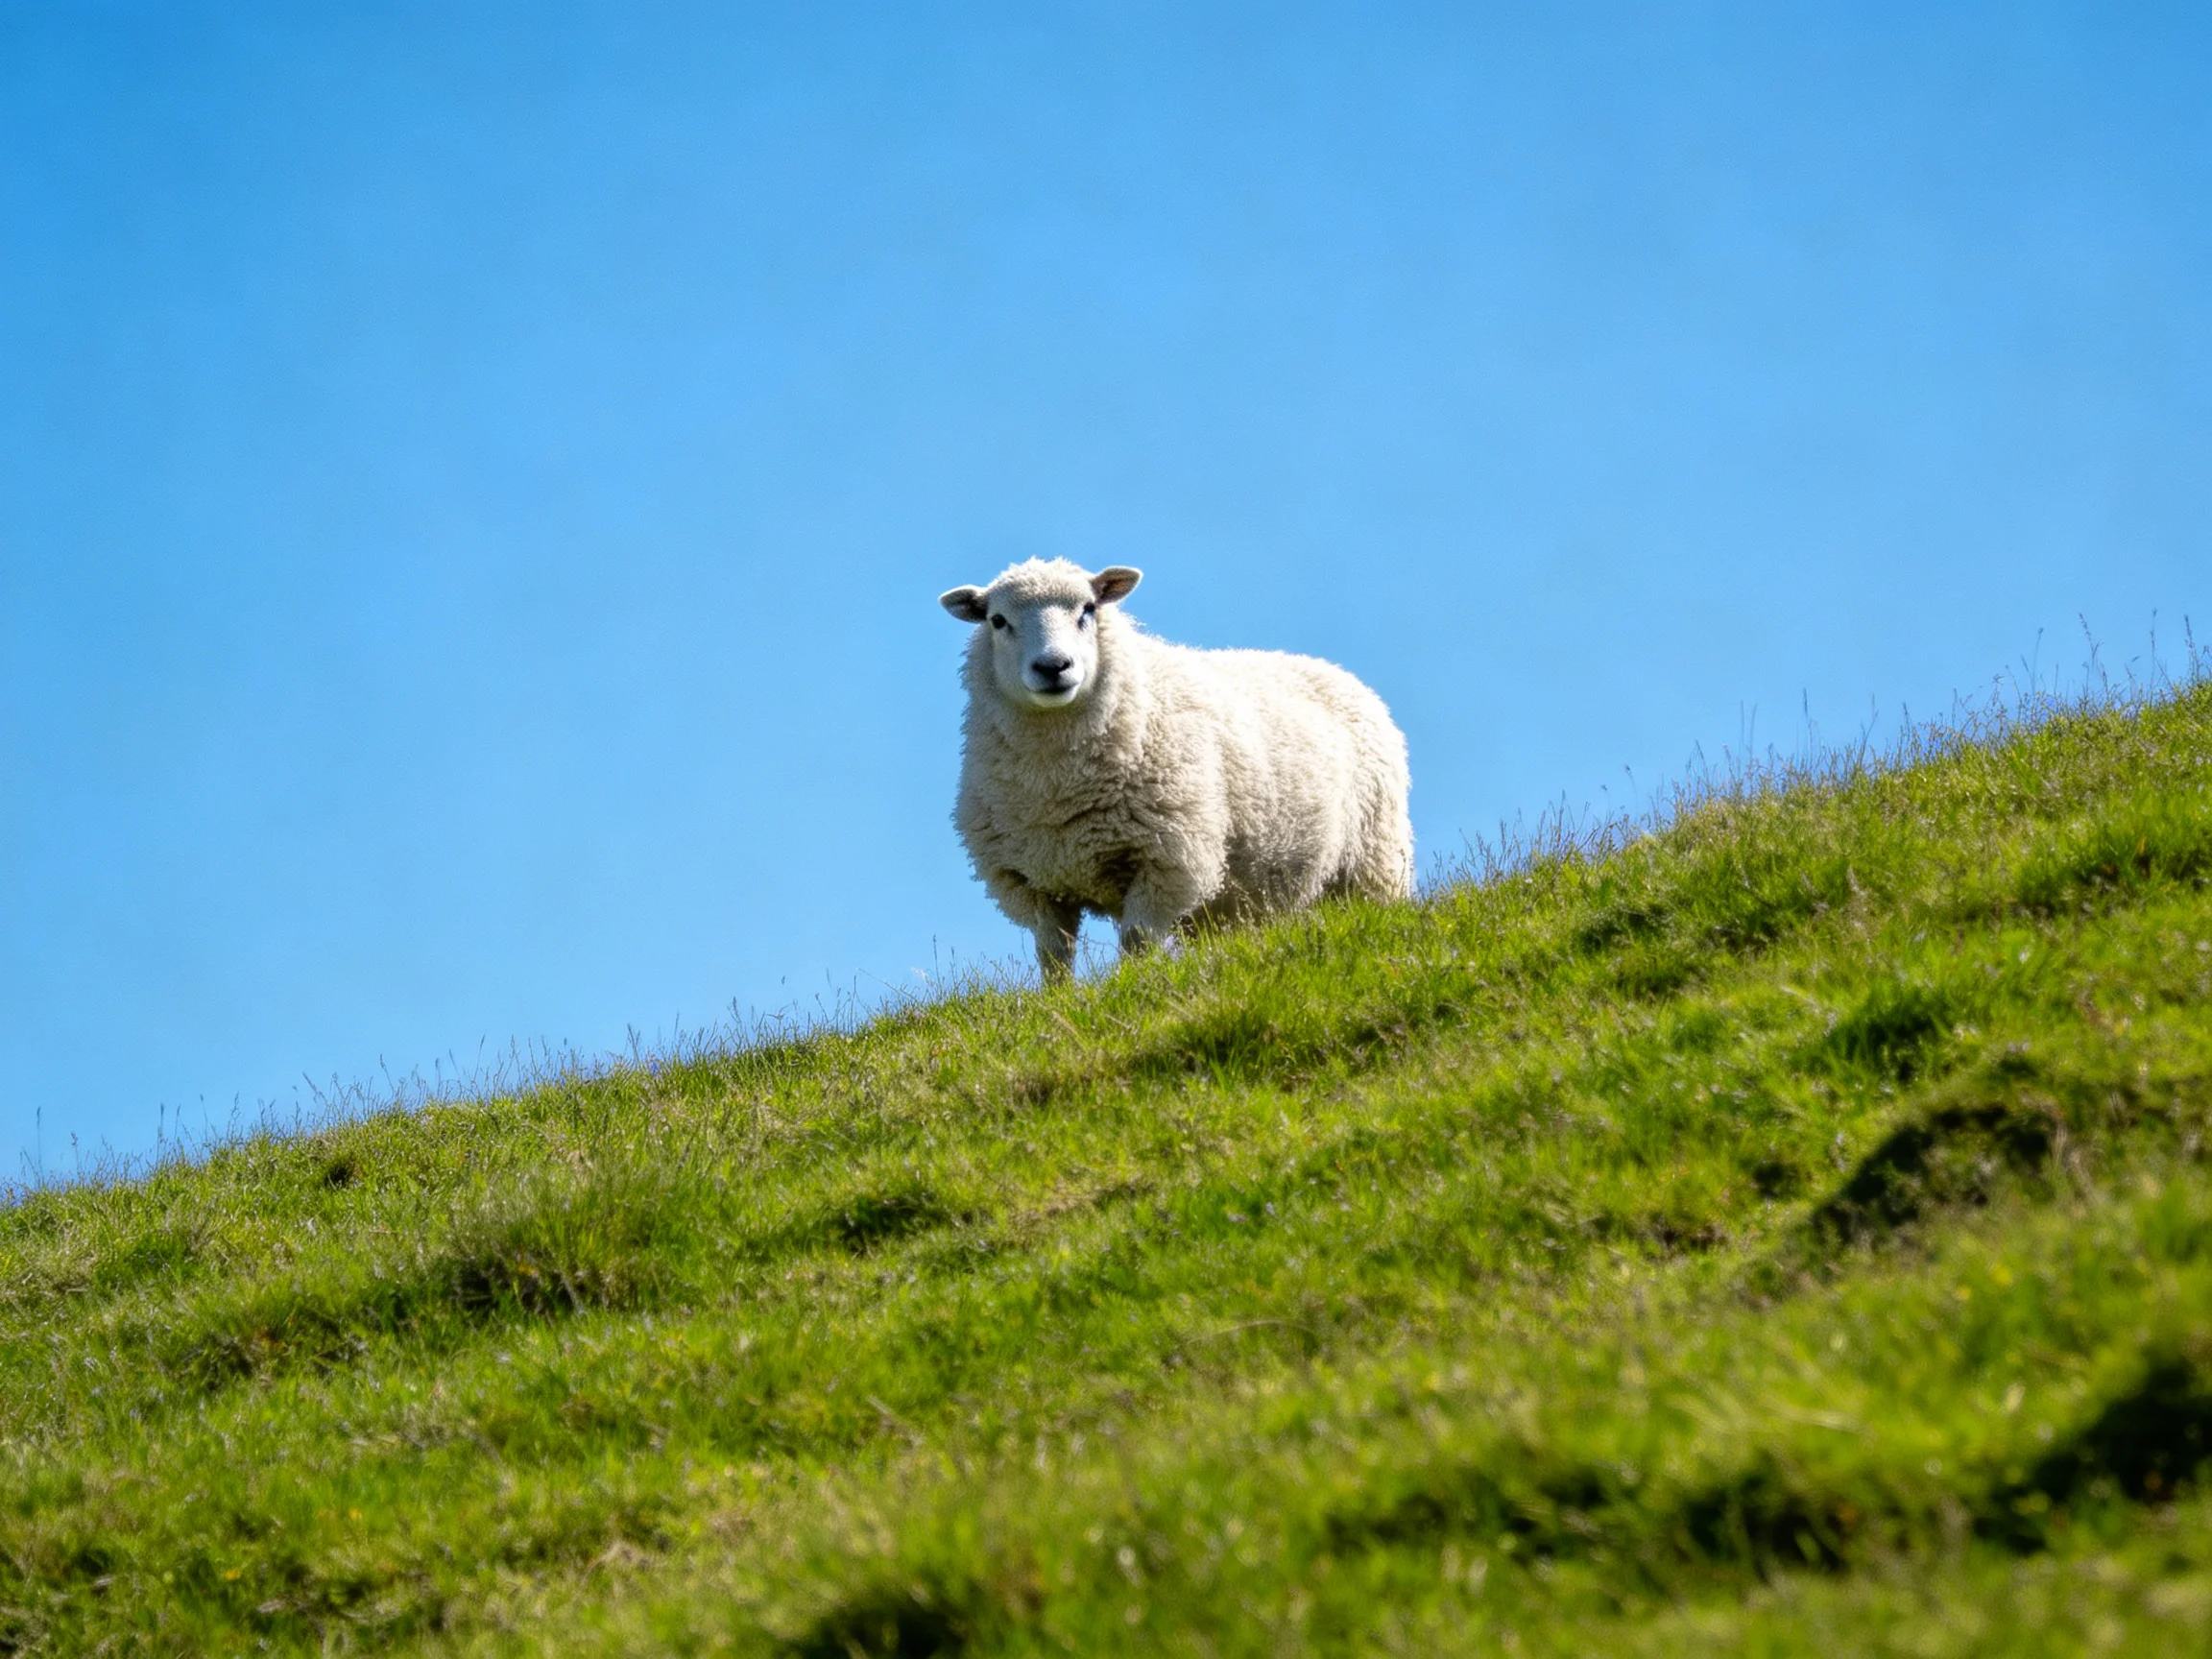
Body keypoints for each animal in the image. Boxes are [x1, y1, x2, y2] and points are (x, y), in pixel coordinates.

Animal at [939, 558, 1413, 979]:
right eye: (998, 621)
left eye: (1088, 610)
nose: (1053, 667)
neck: (1056, 784)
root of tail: (1332, 670)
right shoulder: (1031, 881)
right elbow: (1053, 955)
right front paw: (1060, 1001)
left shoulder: (1169, 859)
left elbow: (1137, 940)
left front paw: (1131, 987)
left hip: (1373, 860)